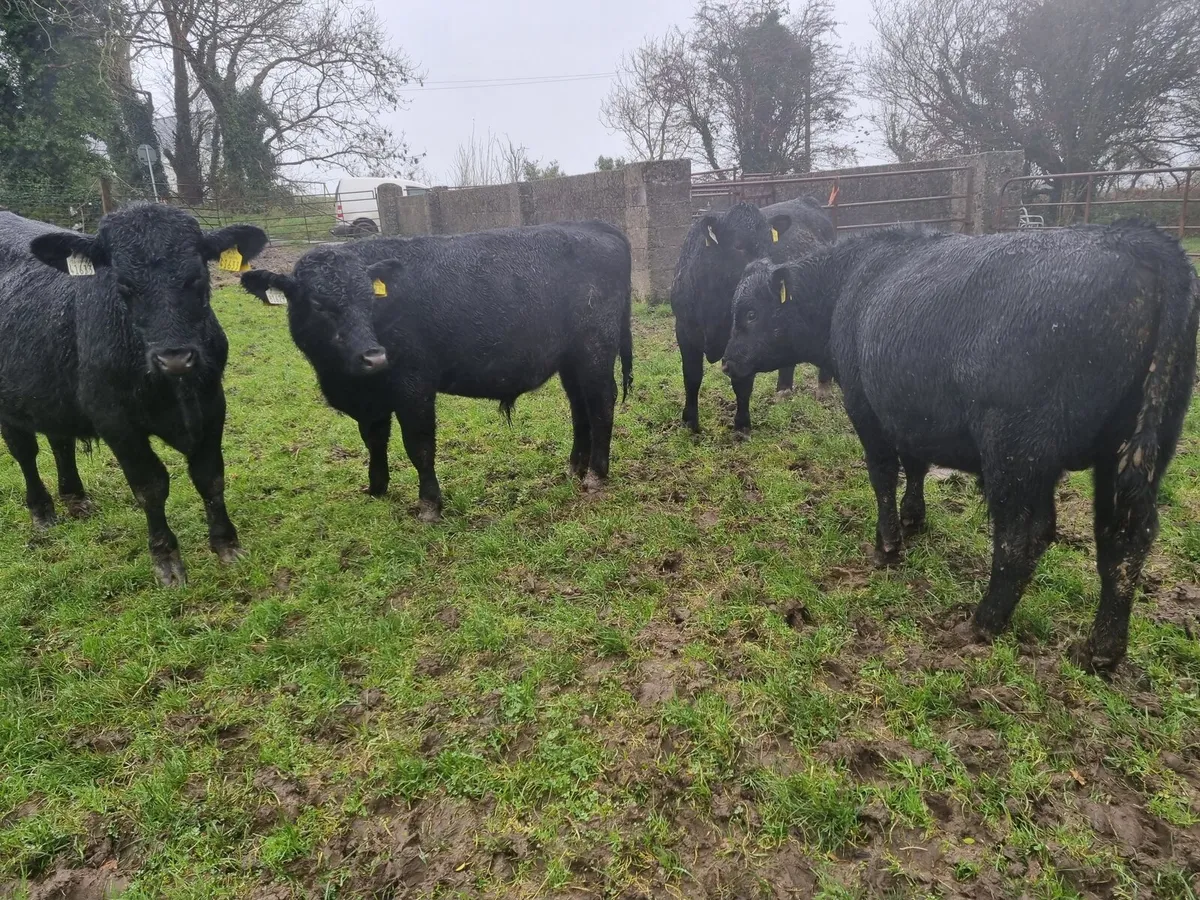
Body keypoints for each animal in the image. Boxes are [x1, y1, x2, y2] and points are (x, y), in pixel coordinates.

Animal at [0, 204, 268, 586]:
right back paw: (42, 512)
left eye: (196, 279)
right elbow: (150, 486)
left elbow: (210, 476)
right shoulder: (115, 421)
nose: (175, 357)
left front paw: (226, 545)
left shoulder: (213, 403)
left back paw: (75, 499)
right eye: (124, 285)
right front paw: (167, 561)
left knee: (60, 442)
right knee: (24, 452)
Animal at [240, 221, 633, 522]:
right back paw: (574, 468)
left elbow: (419, 445)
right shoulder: (372, 400)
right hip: (571, 359)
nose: (374, 357)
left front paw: (429, 505)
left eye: (369, 300)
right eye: (318, 304)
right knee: (580, 407)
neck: (344, 382)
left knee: (601, 402)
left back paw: (596, 475)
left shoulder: (413, 385)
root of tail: (591, 225)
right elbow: (374, 440)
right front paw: (376, 488)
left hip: (595, 349)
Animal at [672, 198, 835, 436]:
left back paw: (823, 388)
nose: (765, 272)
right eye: (738, 245)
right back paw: (783, 391)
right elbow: (691, 377)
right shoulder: (684, 330)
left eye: (769, 244)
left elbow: (742, 382)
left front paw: (742, 425)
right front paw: (690, 422)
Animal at [721, 221, 1197, 672]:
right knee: (1124, 539)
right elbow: (915, 466)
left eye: (750, 312)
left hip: (1016, 449)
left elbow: (883, 475)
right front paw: (914, 519)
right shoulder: (911, 413)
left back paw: (983, 622)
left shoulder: (867, 409)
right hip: (1131, 453)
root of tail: (1140, 238)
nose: (726, 361)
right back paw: (1101, 650)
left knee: (1024, 534)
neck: (850, 282)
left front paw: (887, 545)